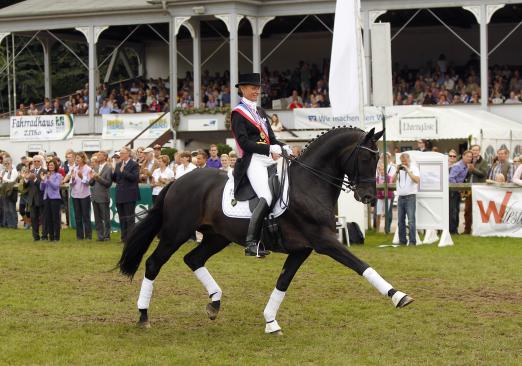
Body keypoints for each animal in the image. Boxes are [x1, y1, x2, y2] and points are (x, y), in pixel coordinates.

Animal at [117, 126, 410, 334]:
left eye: (378, 159)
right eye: (365, 156)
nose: (369, 196)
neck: (310, 184)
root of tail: (177, 182)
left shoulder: (302, 249)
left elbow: (283, 282)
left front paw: (271, 322)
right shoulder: (324, 241)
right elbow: (360, 265)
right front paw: (398, 296)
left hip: (217, 237)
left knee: (193, 258)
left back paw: (214, 303)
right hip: (175, 233)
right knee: (154, 263)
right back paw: (143, 316)